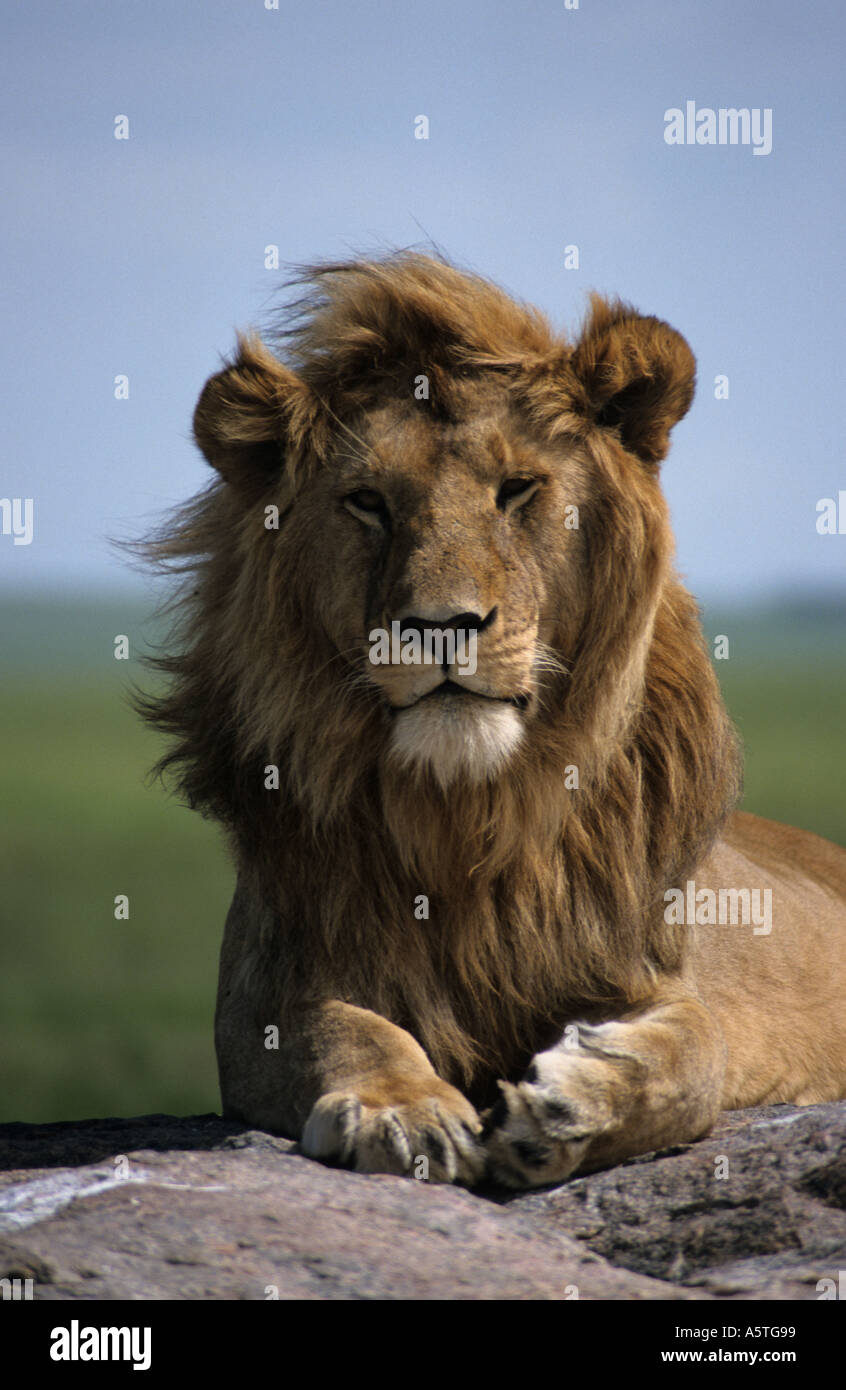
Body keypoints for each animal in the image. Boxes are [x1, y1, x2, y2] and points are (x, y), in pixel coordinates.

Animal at [139, 252, 846, 1188]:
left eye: (517, 491)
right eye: (368, 502)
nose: (442, 624)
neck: (465, 811)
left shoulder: (656, 973)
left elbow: (694, 1056)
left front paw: (571, 1104)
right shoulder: (269, 983)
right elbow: (341, 1029)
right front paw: (400, 1109)